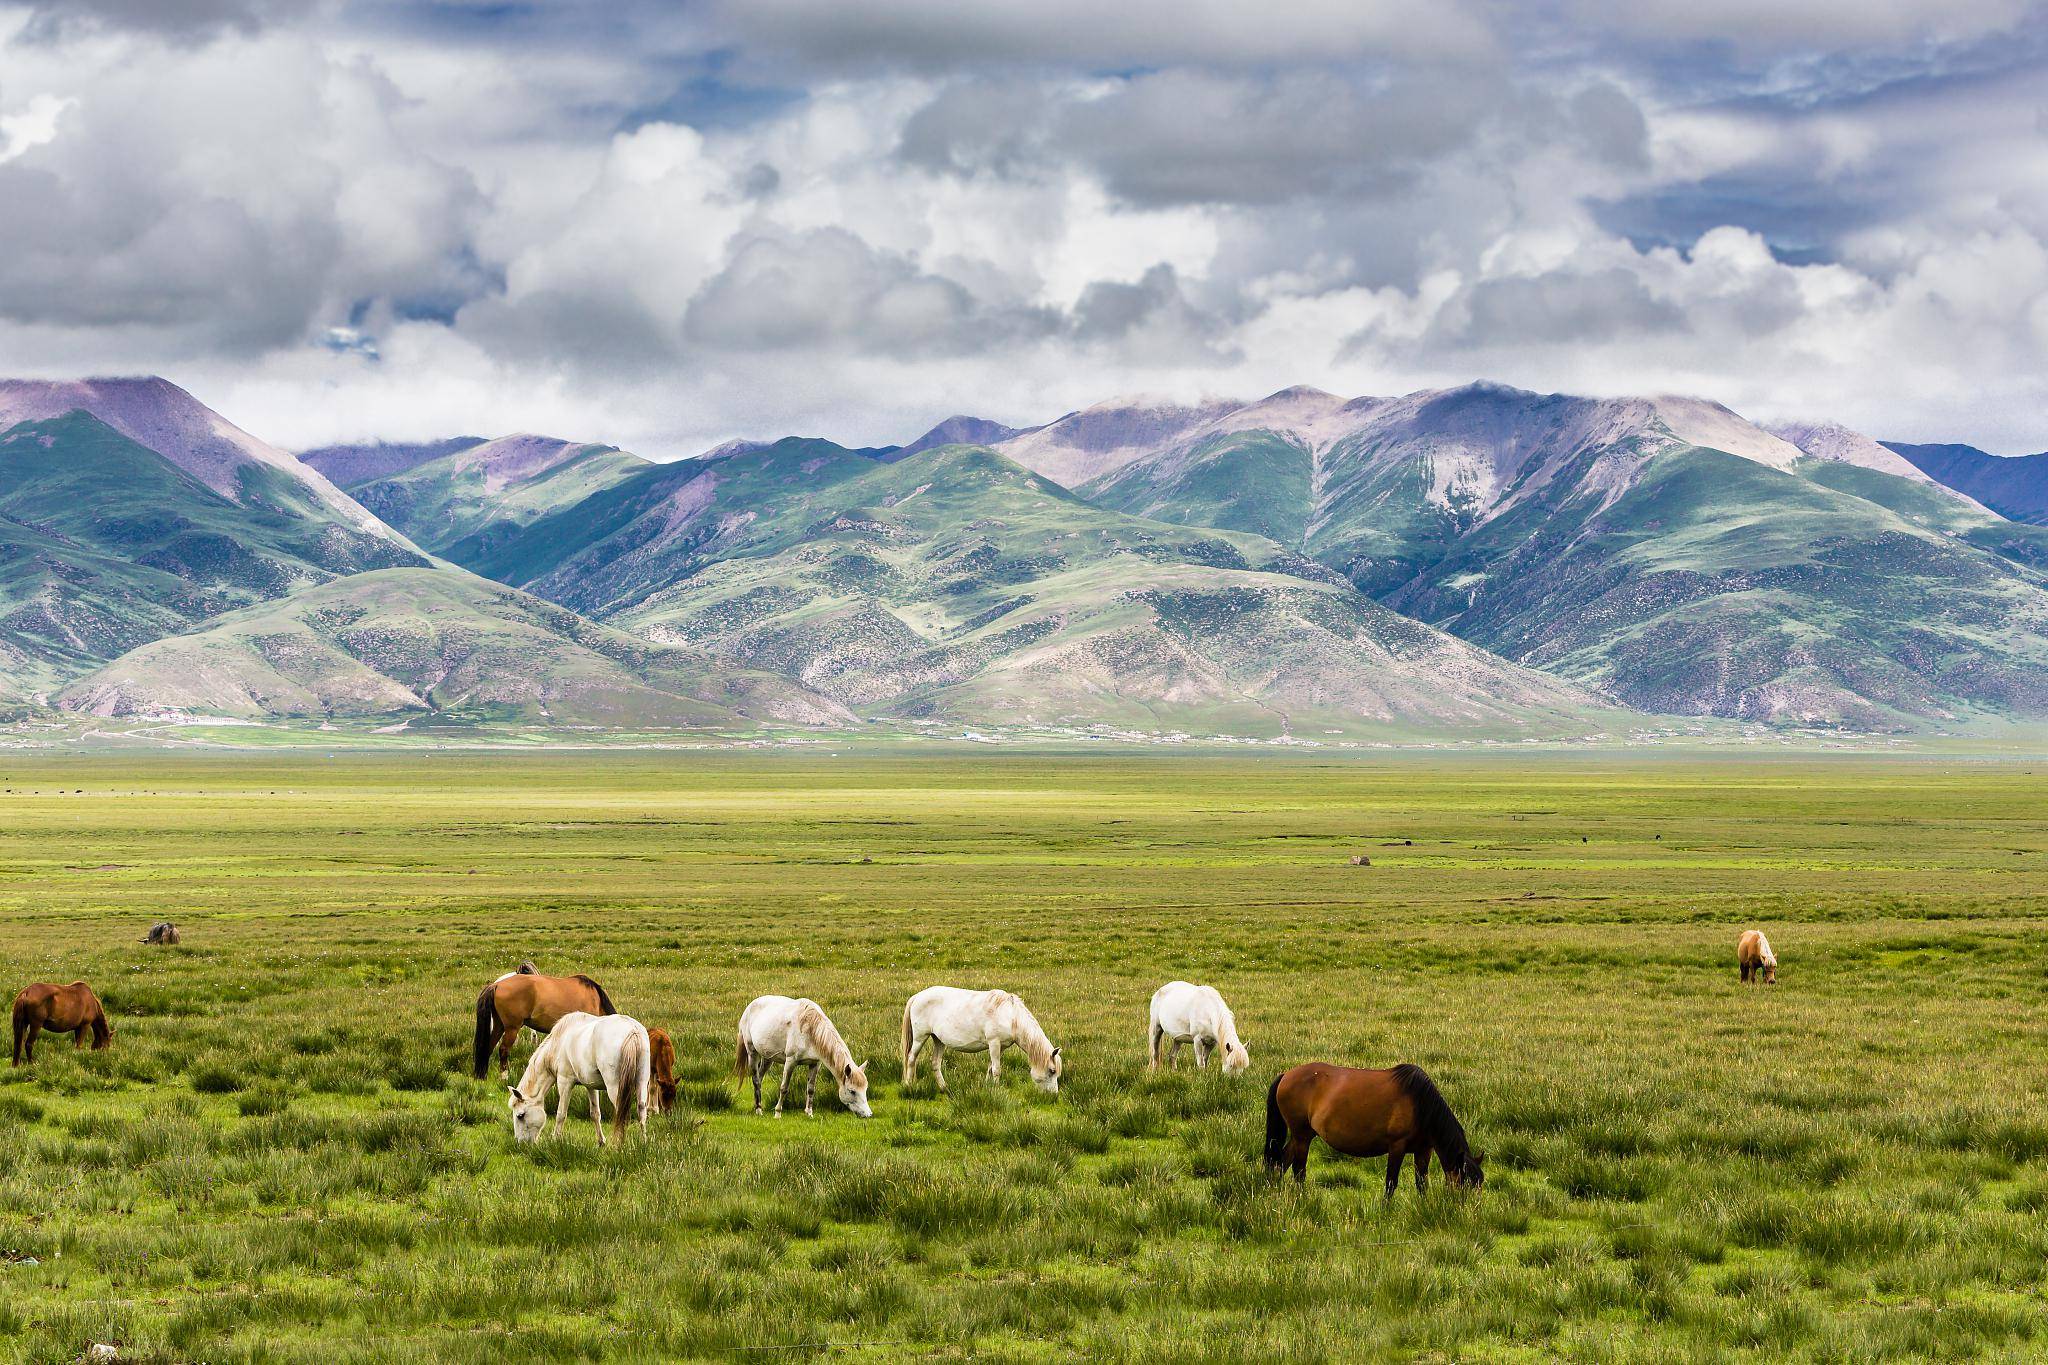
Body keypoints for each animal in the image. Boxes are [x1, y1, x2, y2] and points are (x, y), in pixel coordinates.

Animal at [473, 965, 614, 1080]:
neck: (595, 999)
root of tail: (497, 985)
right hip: (512, 1028)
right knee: (503, 1050)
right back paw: (504, 1077)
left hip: (499, 1026)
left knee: (489, 1047)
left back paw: (483, 1076)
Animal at [503, 1010, 647, 1146]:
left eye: (520, 1115)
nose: (521, 1143)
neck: (558, 1043)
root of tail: (632, 1030)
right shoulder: (591, 1086)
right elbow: (595, 1113)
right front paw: (601, 1142)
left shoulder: (565, 1082)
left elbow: (561, 1114)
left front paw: (555, 1139)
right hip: (642, 1082)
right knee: (641, 1109)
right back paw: (643, 1143)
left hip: (615, 1087)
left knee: (622, 1113)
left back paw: (619, 1145)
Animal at [901, 986, 1064, 1096]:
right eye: (1052, 1071)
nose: (1054, 1096)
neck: (1011, 1016)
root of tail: (917, 996)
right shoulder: (994, 1043)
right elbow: (997, 1069)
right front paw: (997, 1090)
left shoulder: (1001, 1047)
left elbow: (991, 1067)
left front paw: (988, 1088)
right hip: (920, 1037)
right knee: (911, 1058)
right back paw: (909, 1086)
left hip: (938, 1040)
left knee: (935, 1063)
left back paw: (944, 1088)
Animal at [1261, 1064, 1490, 1203]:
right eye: (1464, 1184)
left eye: (1479, 1184)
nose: (1471, 1213)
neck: (1420, 1104)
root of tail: (1286, 1075)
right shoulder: (1397, 1146)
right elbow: (1391, 1181)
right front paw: (1385, 1210)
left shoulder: (1424, 1150)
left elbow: (1421, 1182)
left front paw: (1424, 1207)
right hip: (1301, 1135)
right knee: (1298, 1170)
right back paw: (1303, 1199)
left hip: (1303, 1135)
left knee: (1282, 1162)